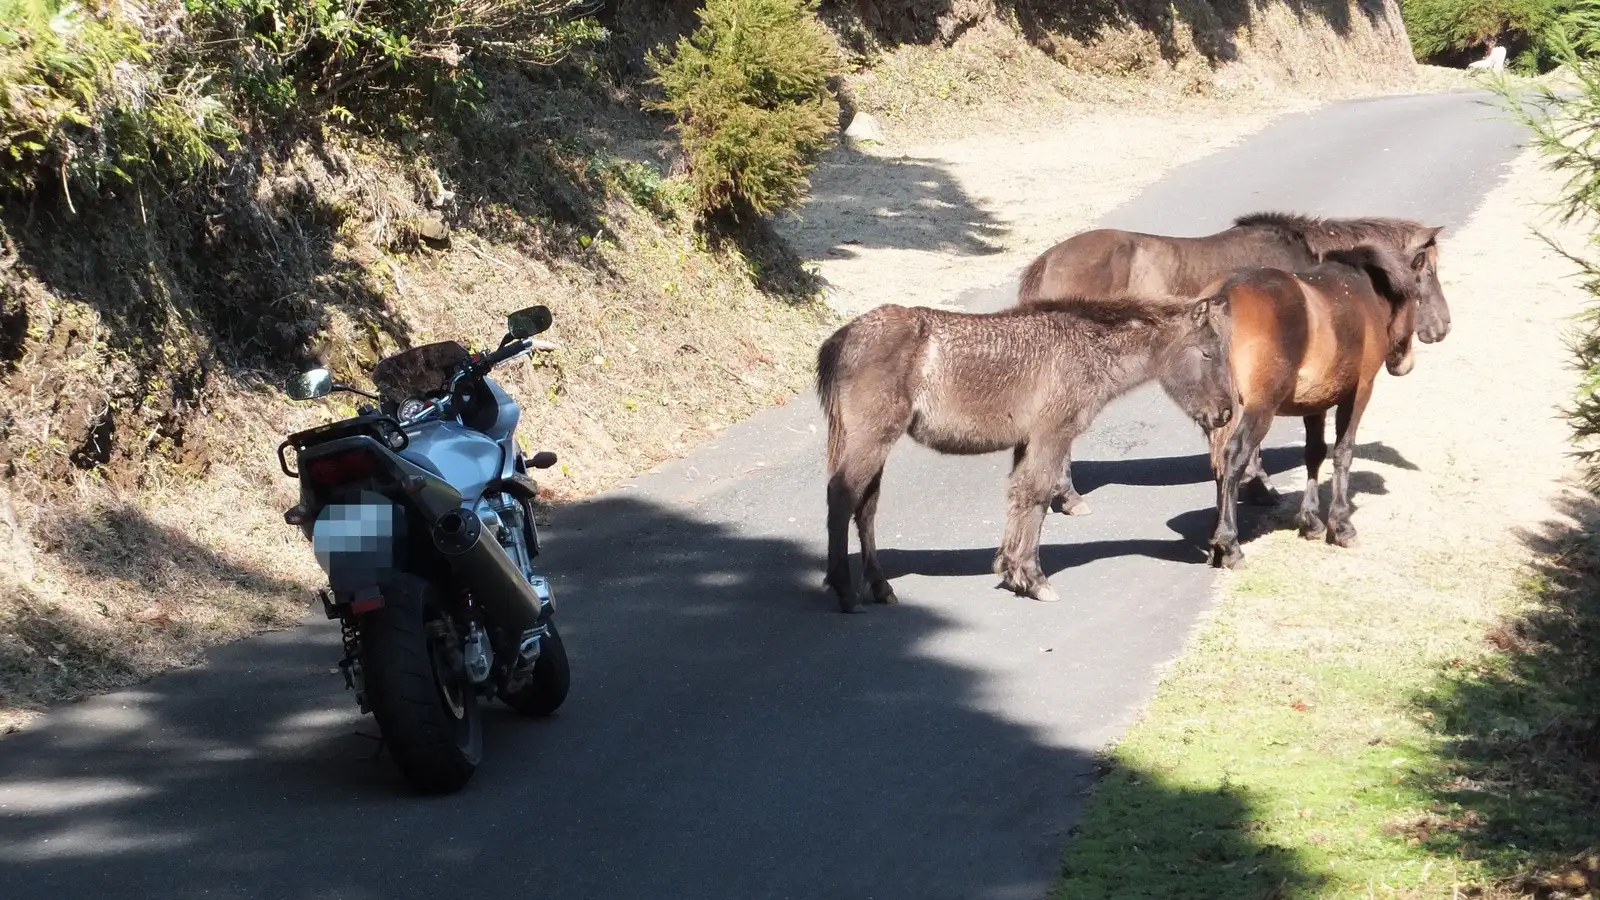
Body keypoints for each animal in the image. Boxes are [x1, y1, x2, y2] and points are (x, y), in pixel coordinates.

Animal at [815, 294, 1236, 614]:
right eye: (1206, 353)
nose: (1225, 413)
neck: (1083, 350)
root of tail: (844, 337)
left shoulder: (1026, 442)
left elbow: (1019, 497)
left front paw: (1010, 570)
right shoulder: (1053, 434)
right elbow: (1037, 494)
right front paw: (1032, 579)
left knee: (865, 507)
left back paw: (880, 587)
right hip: (872, 439)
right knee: (842, 496)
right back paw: (845, 591)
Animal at [1204, 244, 1420, 570]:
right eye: (1419, 296)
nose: (1404, 362)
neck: (1363, 290)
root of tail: (1223, 298)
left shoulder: (1315, 401)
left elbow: (1314, 452)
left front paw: (1310, 521)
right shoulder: (1359, 391)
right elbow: (1343, 452)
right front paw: (1341, 525)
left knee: (1218, 463)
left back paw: (1217, 543)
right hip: (1259, 411)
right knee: (1233, 457)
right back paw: (1229, 544)